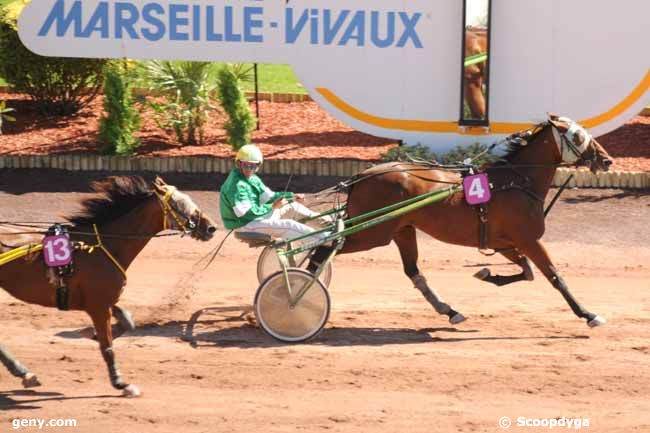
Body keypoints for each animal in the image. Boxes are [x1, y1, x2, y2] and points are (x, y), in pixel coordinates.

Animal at [0, 175, 218, 394]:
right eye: (178, 204)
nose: (211, 227)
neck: (104, 246)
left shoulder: (105, 300)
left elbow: (127, 321)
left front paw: (91, 333)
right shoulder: (99, 305)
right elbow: (108, 347)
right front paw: (121, 382)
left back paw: (23, 372)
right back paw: (23, 372)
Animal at [318, 115, 608, 328]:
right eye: (579, 136)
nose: (606, 160)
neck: (516, 182)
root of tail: (362, 175)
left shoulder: (505, 242)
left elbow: (527, 272)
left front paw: (488, 274)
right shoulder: (528, 239)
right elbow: (554, 276)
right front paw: (588, 314)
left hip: (403, 230)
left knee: (413, 271)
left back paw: (449, 310)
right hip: (373, 233)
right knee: (325, 249)